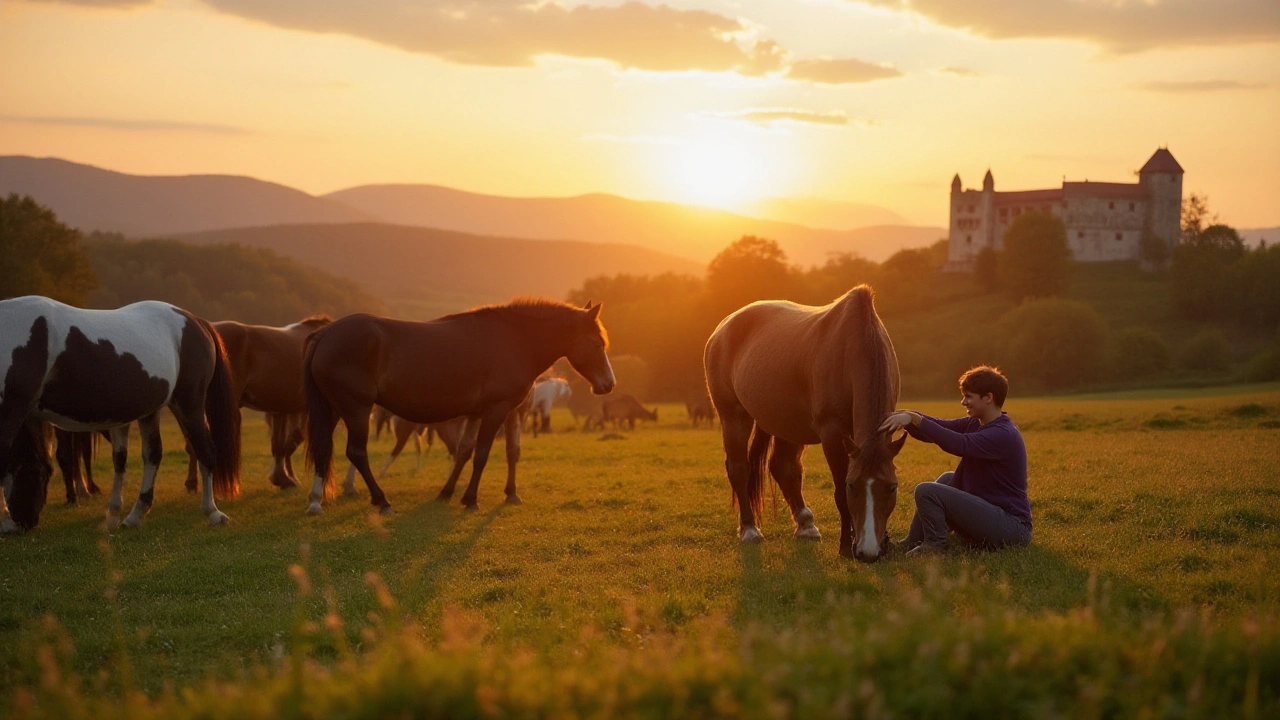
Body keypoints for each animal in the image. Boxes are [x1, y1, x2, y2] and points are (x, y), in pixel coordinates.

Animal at [0, 294, 240, 530]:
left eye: (44, 473)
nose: (25, 522)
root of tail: (194, 321)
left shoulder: (13, 410)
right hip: (151, 412)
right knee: (152, 455)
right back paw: (134, 515)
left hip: (189, 404)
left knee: (205, 451)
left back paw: (213, 512)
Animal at [186, 315, 337, 489]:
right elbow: (293, 441)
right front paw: (284, 478)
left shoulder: (280, 410)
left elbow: (279, 445)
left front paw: (282, 478)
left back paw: (192, 483)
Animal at [304, 297, 614, 509]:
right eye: (597, 343)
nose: (609, 384)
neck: (514, 341)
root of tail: (326, 334)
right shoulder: (495, 411)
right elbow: (481, 454)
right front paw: (470, 498)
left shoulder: (488, 413)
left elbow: (474, 451)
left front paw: (453, 492)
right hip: (356, 410)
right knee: (356, 453)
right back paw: (381, 501)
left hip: (335, 410)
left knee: (324, 449)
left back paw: (317, 499)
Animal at [706, 284, 906, 561]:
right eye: (852, 485)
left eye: (892, 487)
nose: (868, 552)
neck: (853, 347)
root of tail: (722, 329)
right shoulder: (832, 433)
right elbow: (838, 492)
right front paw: (845, 546)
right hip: (733, 417)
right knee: (739, 468)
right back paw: (749, 529)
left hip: (787, 423)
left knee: (784, 467)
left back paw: (805, 523)